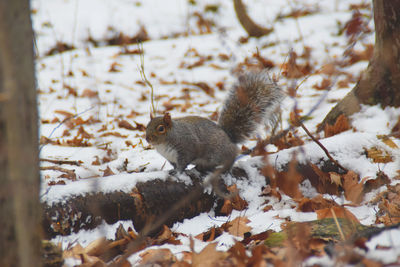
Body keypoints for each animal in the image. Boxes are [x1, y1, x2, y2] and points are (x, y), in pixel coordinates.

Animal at [145, 69, 282, 174]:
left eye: (161, 128)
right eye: (147, 126)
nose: (148, 139)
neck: (163, 144)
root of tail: (229, 139)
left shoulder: (187, 147)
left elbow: (183, 163)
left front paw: (178, 172)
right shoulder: (170, 158)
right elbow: (174, 165)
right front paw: (173, 170)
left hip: (218, 153)